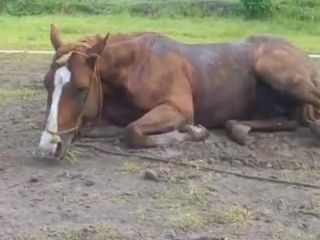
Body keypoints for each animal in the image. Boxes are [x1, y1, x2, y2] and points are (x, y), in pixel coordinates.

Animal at [32, 24, 320, 159]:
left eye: (81, 88)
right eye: (47, 84)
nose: (47, 148)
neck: (137, 66)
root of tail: (298, 52)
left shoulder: (177, 110)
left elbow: (132, 131)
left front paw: (192, 133)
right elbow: (98, 128)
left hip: (279, 74)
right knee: (288, 121)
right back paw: (239, 128)